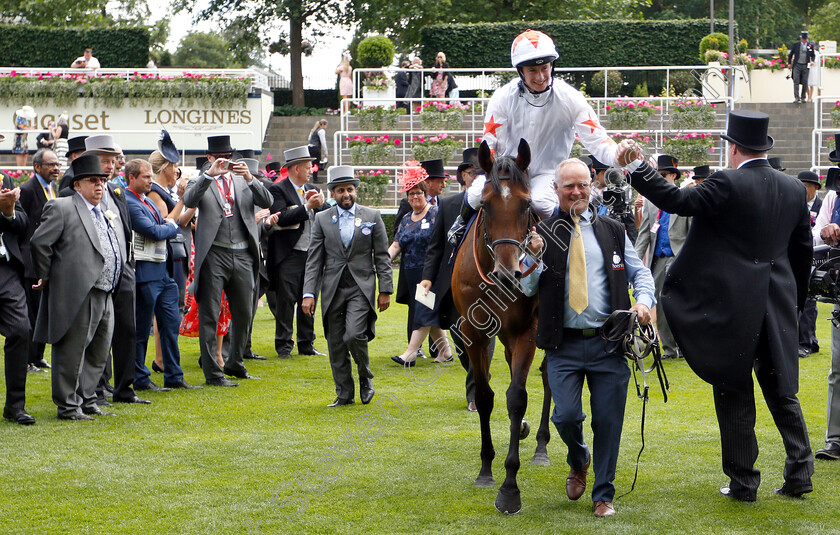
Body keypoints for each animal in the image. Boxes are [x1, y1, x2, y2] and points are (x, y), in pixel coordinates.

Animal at [452, 138, 552, 516]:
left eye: (526, 205)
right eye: (486, 205)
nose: (508, 275)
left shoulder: (527, 331)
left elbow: (516, 397)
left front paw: (510, 487)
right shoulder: (474, 332)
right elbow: (484, 396)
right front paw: (485, 469)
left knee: (548, 378)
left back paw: (540, 445)